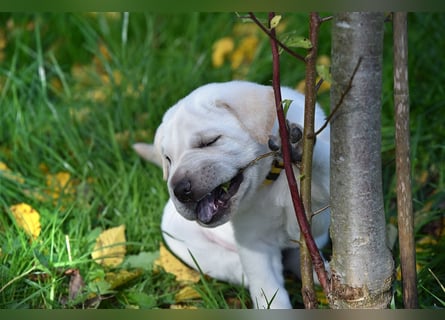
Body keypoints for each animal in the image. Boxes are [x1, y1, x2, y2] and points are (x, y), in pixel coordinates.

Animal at [134, 81, 330, 308]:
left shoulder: (319, 214)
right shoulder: (254, 242)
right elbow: (267, 288)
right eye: (168, 159)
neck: (271, 176)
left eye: (210, 141)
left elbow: (322, 167)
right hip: (181, 239)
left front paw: (296, 146)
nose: (180, 189)